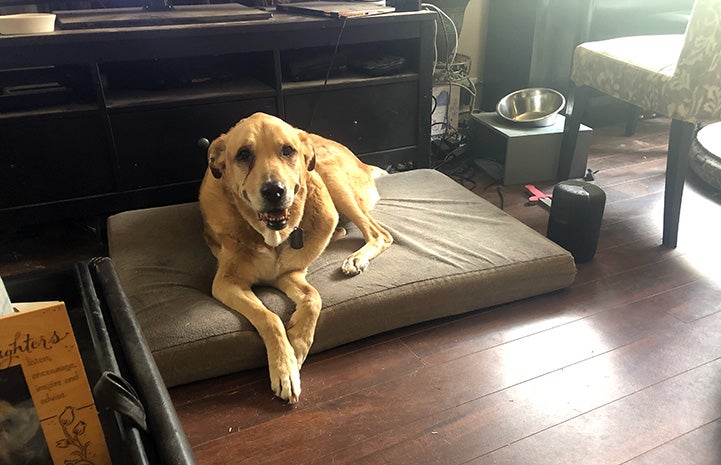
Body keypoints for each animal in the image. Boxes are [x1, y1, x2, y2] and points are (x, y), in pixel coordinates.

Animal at [198, 112, 394, 402]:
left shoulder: (290, 273)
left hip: (330, 177)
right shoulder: (227, 283)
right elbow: (271, 316)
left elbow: (314, 298)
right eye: (243, 154)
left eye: (287, 150)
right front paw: (285, 366)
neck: (270, 237)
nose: (274, 191)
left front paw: (298, 346)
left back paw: (356, 259)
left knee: (379, 233)